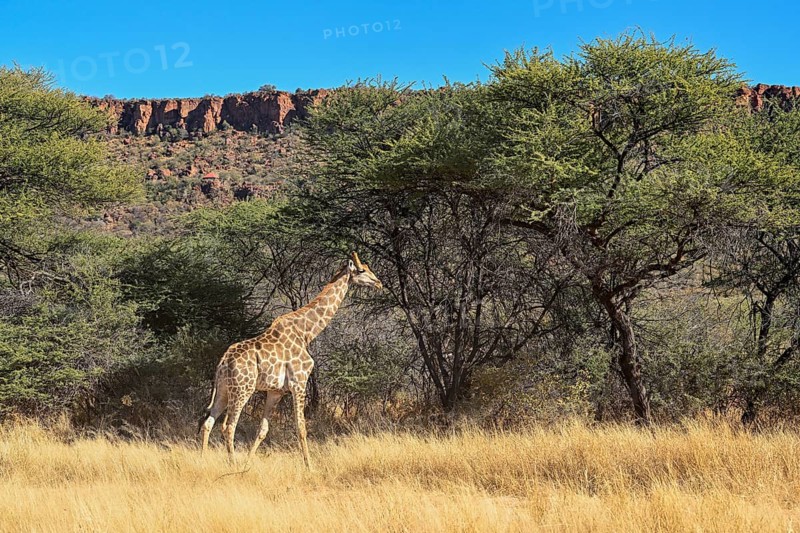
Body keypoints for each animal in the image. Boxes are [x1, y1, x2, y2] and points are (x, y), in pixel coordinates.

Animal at [198, 251, 383, 468]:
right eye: (362, 270)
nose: (378, 283)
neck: (306, 332)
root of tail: (223, 362)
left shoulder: (276, 391)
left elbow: (263, 430)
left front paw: (248, 464)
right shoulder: (299, 383)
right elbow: (301, 427)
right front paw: (309, 466)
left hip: (223, 390)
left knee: (208, 422)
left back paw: (203, 460)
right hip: (242, 389)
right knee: (228, 426)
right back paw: (232, 464)